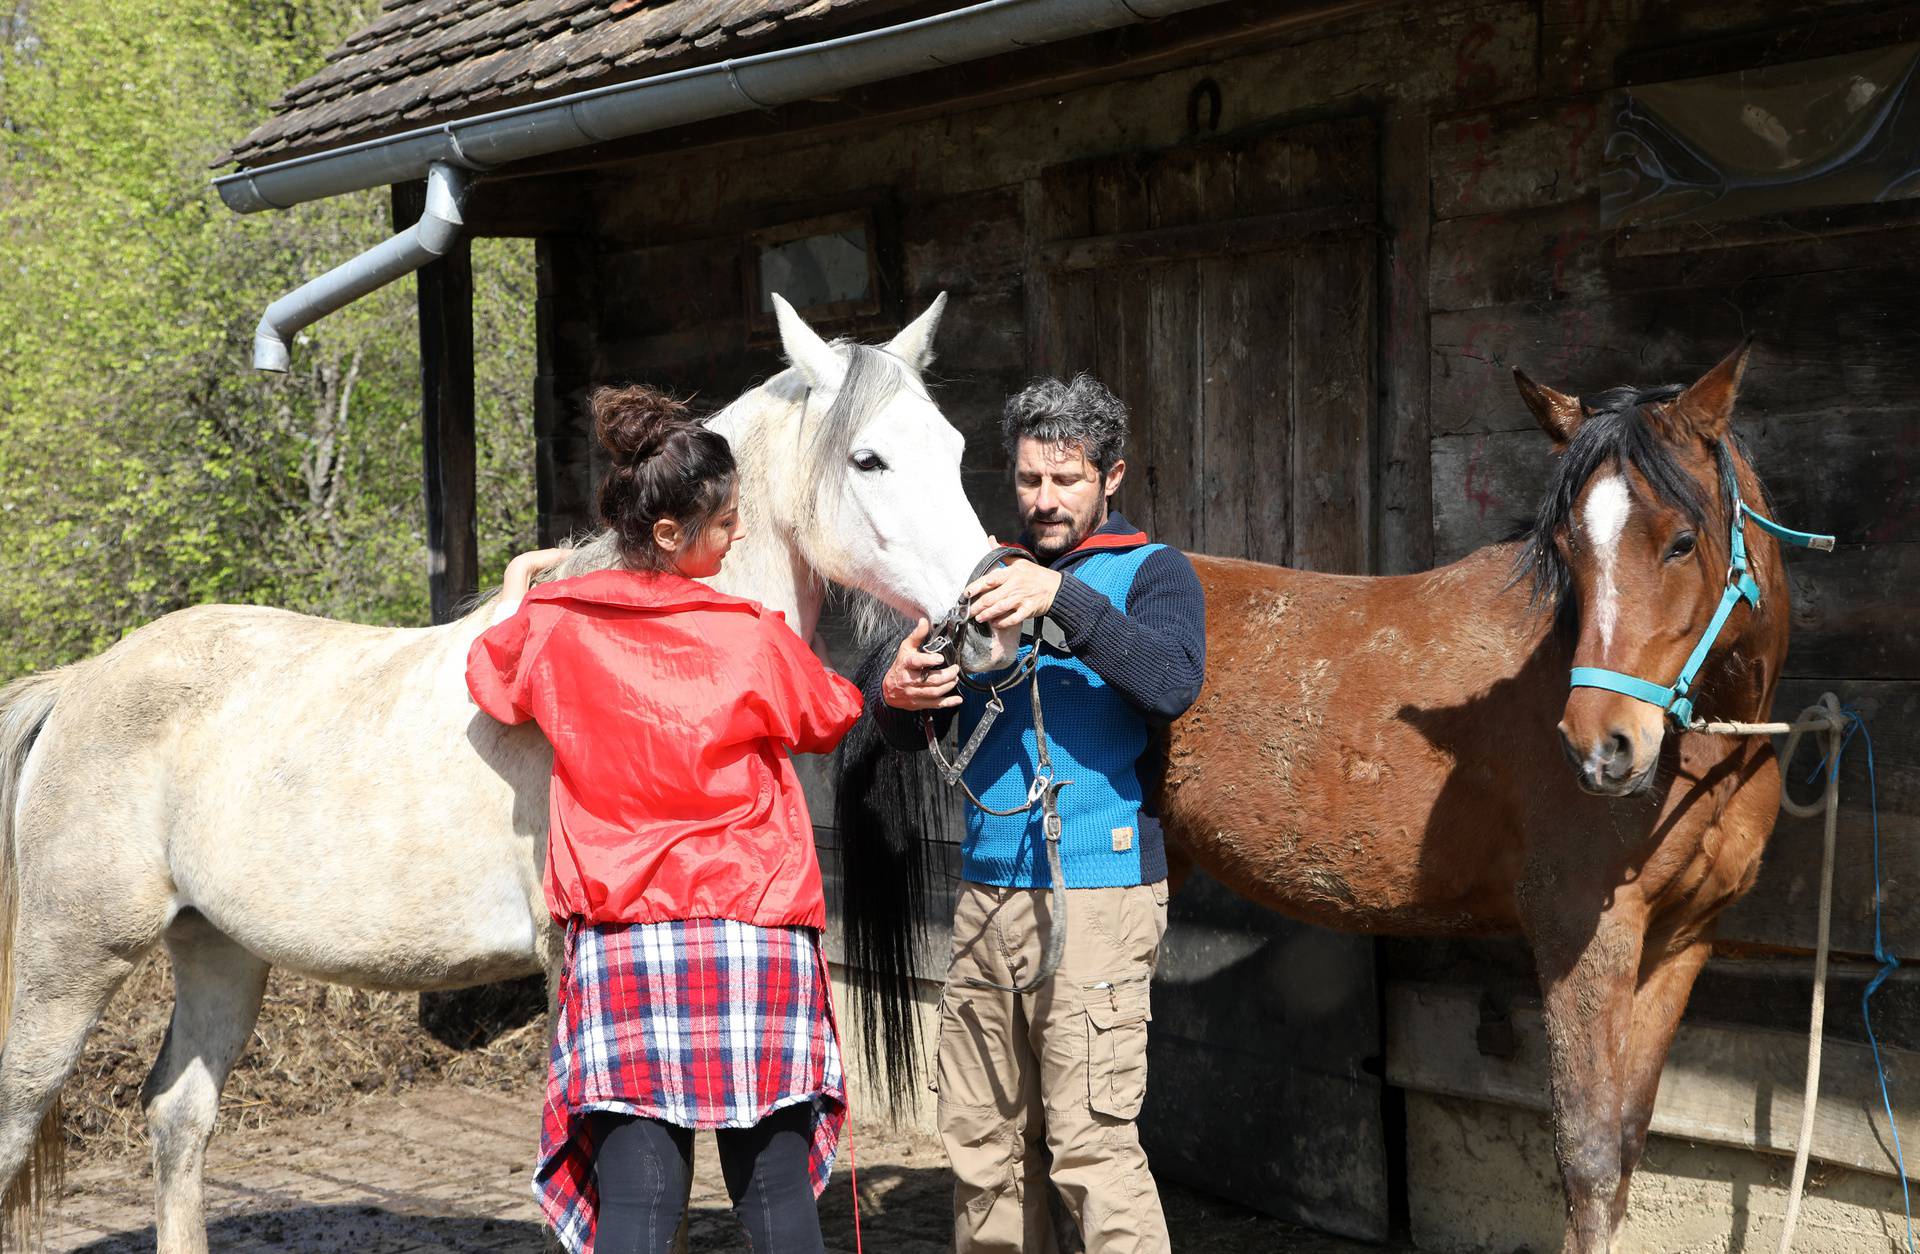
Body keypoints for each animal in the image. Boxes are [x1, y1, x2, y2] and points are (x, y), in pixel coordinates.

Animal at [0, 291, 1013, 1244]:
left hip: (219, 950)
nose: (994, 618)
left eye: (956, 447)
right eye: (868, 460)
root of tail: (82, 682)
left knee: (178, 1121)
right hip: (69, 961)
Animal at [833, 345, 1789, 1252]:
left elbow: (1624, 1148)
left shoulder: (1680, 943)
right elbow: (1587, 1160)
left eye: (1682, 541)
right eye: (1564, 550)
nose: (1602, 747)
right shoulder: (1581, 938)